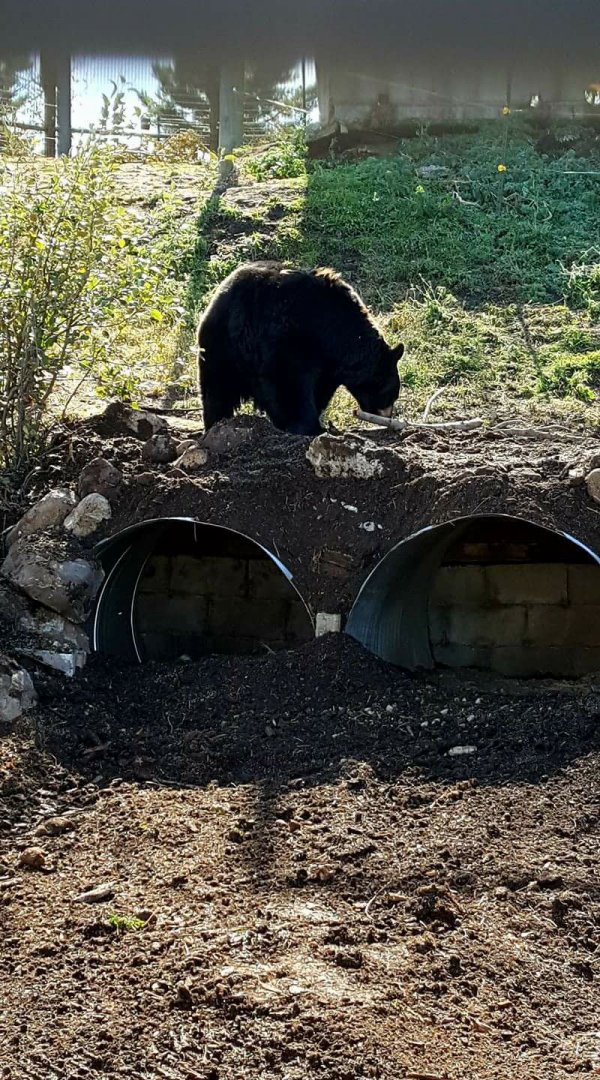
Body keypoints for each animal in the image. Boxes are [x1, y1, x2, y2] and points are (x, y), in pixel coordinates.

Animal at [197, 261, 404, 436]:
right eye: (391, 394)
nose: (388, 416)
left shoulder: (328, 365)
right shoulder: (292, 345)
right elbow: (292, 386)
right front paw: (307, 426)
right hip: (220, 348)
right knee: (217, 390)